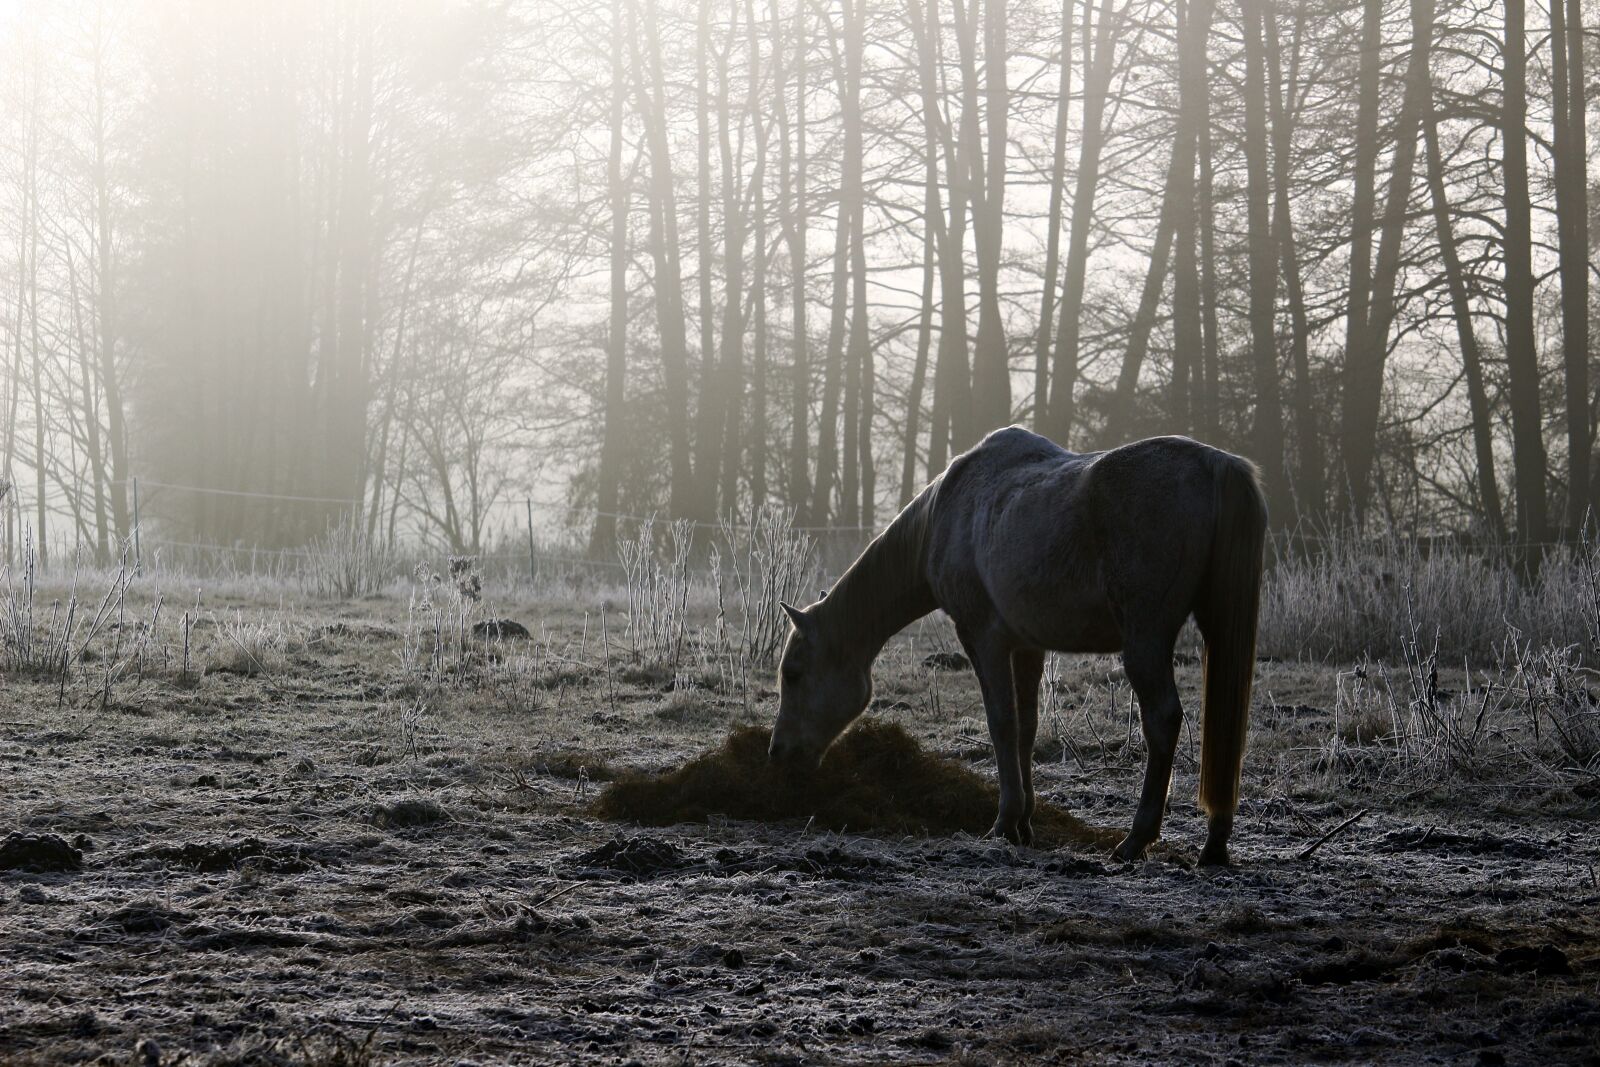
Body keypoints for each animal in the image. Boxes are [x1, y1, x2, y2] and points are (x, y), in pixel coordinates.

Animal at [769, 427, 1267, 866]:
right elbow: (1026, 728)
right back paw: (1214, 845)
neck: (946, 513)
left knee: (1162, 720)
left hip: (1145, 641)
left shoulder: (983, 638)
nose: (778, 754)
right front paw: (1025, 823)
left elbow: (1001, 724)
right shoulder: (1027, 647)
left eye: (793, 674)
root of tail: (1215, 463)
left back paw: (1135, 840)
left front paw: (1004, 823)